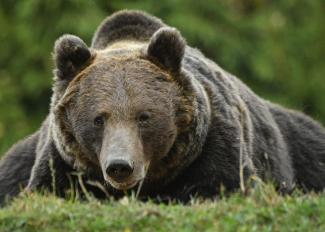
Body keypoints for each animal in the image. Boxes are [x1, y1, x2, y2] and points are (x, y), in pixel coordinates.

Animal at [0, 10, 324, 204]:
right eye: (98, 119)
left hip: (298, 146)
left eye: (144, 116)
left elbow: (224, 186)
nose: (120, 166)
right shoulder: (61, 161)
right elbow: (47, 190)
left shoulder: (215, 143)